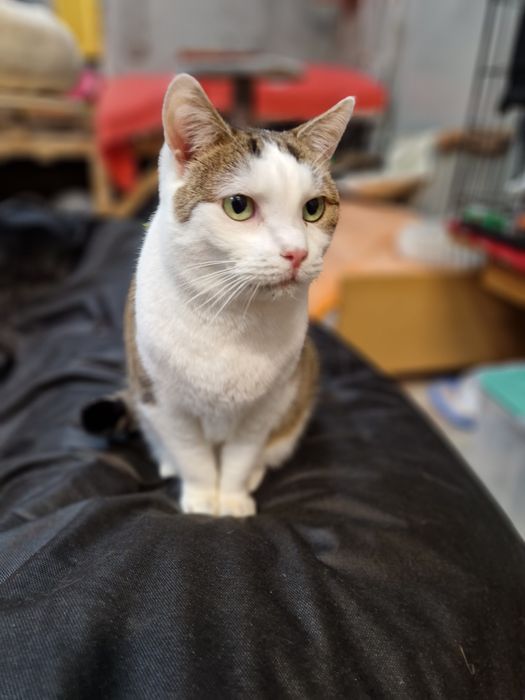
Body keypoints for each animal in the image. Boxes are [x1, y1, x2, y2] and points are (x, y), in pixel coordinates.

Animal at [125, 74, 354, 517]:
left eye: (313, 209)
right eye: (238, 206)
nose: (297, 253)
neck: (229, 315)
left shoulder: (269, 403)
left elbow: (243, 453)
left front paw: (231, 499)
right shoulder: (163, 399)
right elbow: (191, 452)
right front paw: (201, 498)